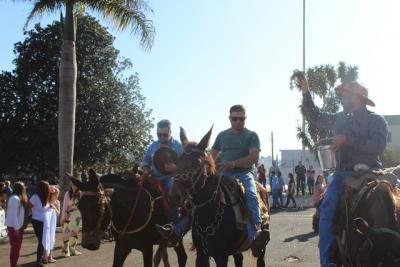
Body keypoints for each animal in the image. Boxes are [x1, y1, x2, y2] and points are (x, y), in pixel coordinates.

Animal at [167, 127, 270, 267]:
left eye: (197, 162)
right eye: (177, 161)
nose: (174, 195)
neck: (208, 212)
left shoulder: (221, 256)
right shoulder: (202, 255)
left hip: (261, 249)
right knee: (239, 259)